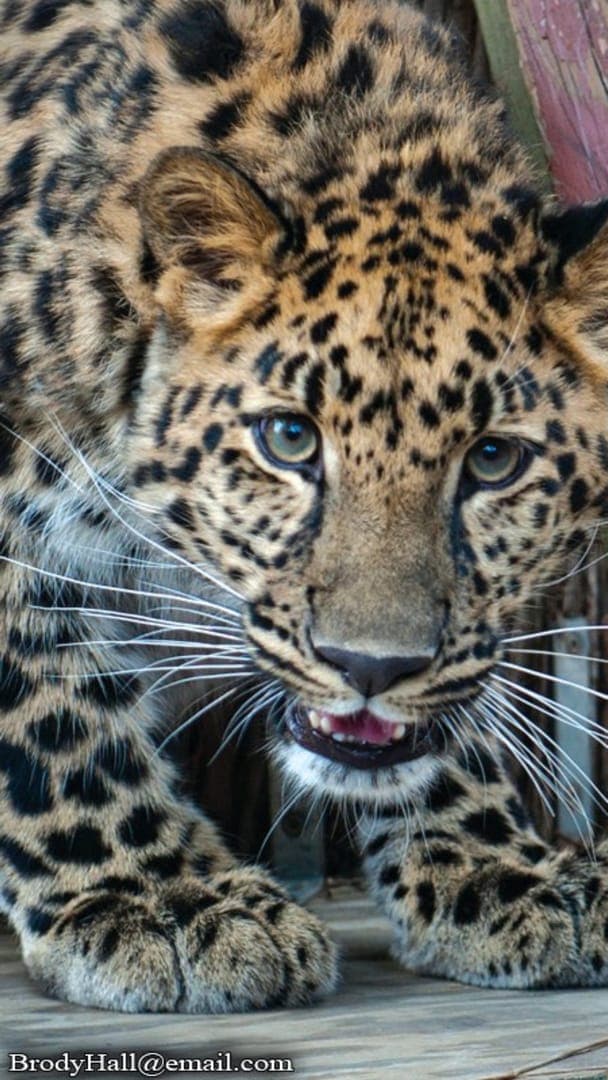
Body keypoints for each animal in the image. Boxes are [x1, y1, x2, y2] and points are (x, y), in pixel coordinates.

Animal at [2, 0, 608, 1014]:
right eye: (289, 438)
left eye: (493, 459)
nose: (370, 666)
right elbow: (54, 711)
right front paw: (164, 899)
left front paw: (499, 867)